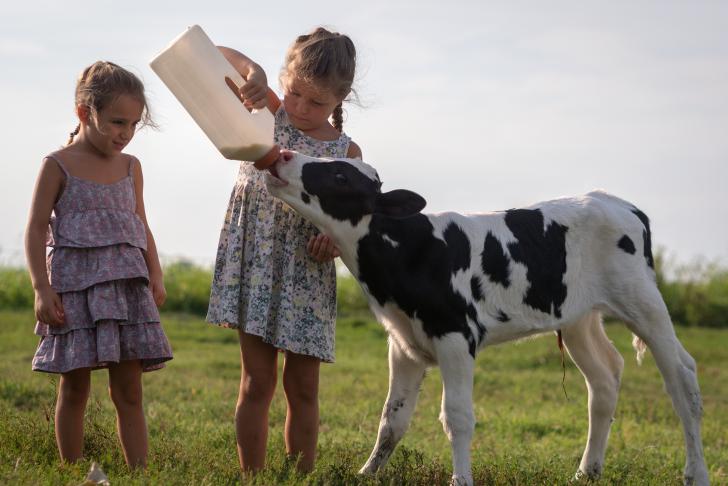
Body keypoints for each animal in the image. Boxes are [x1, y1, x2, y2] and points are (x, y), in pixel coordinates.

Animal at [264, 152, 708, 486]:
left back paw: (695, 474)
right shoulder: (404, 343)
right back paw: (587, 471)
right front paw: (366, 474)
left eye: (340, 174)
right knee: (604, 378)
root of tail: (615, 201)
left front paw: (461, 480)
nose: (283, 154)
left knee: (682, 378)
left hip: (643, 302)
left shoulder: (456, 336)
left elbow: (457, 418)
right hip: (578, 317)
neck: (408, 250)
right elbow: (392, 419)